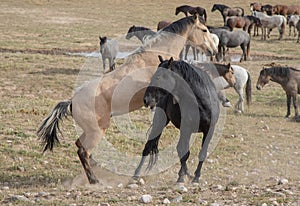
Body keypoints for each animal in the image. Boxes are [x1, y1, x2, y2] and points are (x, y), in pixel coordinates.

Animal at [37, 14, 218, 185]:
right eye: (204, 30)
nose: (213, 50)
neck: (156, 53)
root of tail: (71, 102)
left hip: (90, 130)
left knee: (79, 145)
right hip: (97, 131)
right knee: (83, 151)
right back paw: (94, 180)